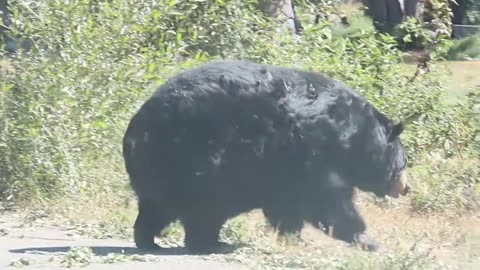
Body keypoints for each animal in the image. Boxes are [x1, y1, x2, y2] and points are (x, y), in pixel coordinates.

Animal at [123, 58, 408, 253]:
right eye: (403, 164)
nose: (407, 188)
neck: (354, 137)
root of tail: (137, 127)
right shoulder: (314, 151)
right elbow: (327, 201)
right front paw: (368, 240)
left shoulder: (285, 169)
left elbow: (286, 205)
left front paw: (292, 236)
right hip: (197, 158)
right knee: (201, 207)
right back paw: (210, 243)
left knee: (158, 206)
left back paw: (150, 240)